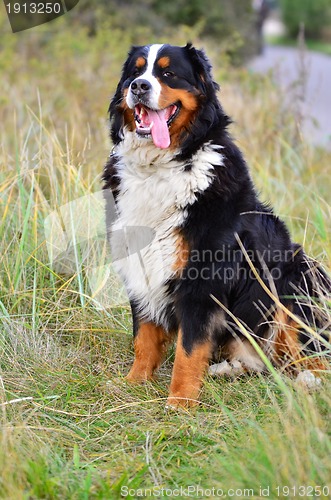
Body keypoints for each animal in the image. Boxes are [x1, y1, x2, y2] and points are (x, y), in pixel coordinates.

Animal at [103, 43, 330, 408]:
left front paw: (180, 402)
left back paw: (309, 382)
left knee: (314, 357)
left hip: (295, 278)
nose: (139, 86)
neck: (161, 167)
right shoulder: (140, 264)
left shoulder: (202, 278)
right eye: (134, 72)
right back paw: (228, 368)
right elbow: (144, 336)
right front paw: (134, 383)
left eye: (168, 73)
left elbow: (189, 348)